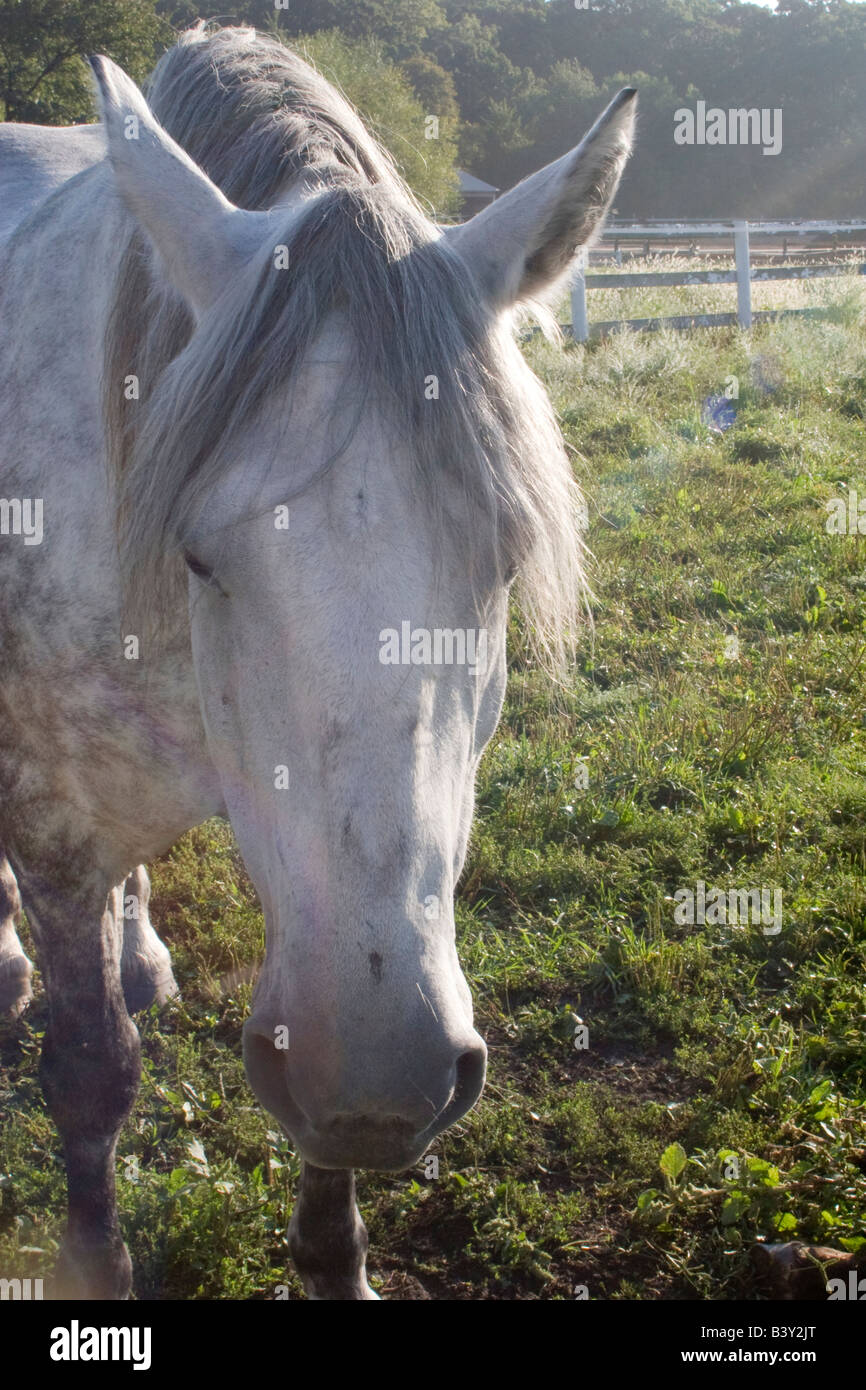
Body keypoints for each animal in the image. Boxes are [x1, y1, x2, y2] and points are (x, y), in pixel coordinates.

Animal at [0, 24, 636, 1301]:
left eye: (504, 562)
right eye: (197, 553)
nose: (384, 1075)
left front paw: (334, 1258)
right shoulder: (53, 833)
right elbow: (90, 1072)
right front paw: (95, 1270)